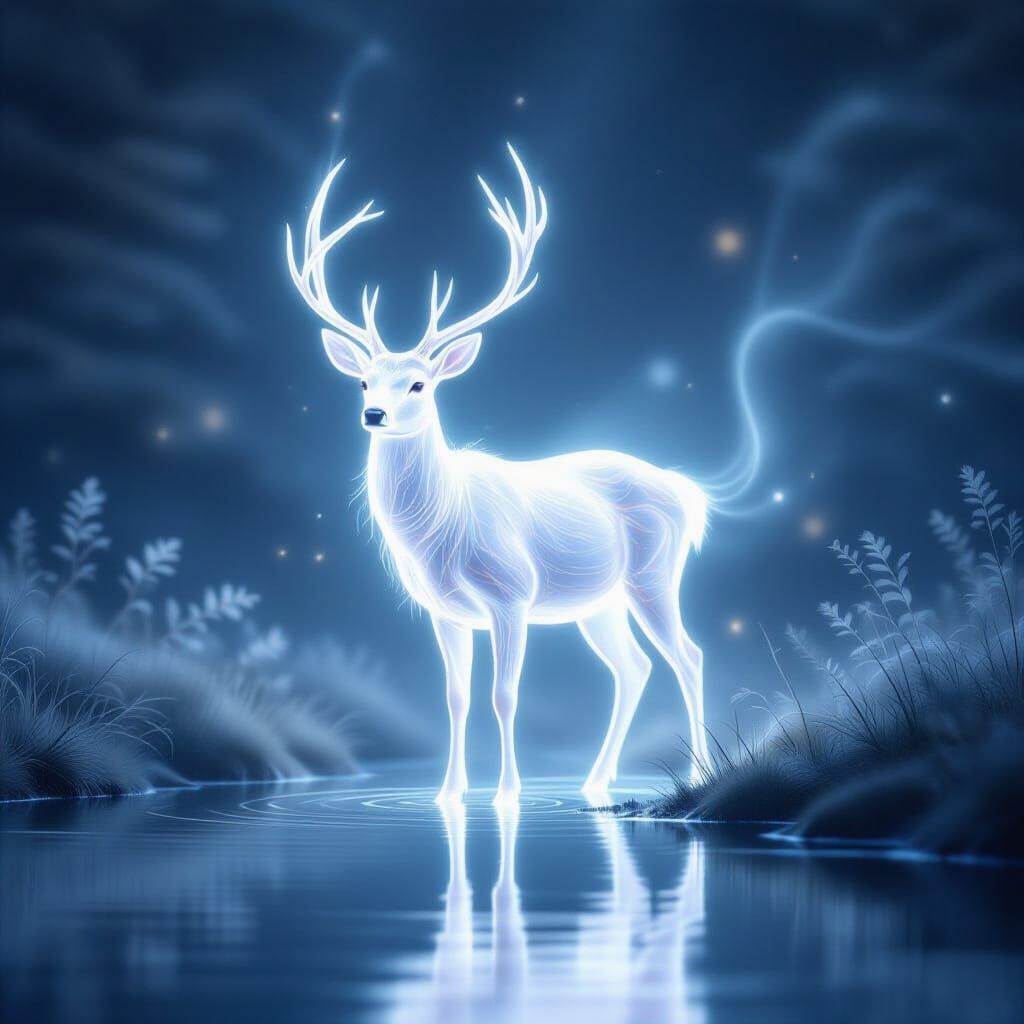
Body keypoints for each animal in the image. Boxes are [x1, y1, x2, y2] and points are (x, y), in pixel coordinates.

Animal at [286, 145, 710, 806]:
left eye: (419, 384)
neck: (441, 533)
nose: (373, 414)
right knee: (634, 668)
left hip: (653, 574)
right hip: (600, 602)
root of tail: (683, 492)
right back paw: (594, 781)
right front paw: (447, 793)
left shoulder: (512, 596)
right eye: (362, 381)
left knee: (687, 656)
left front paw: (508, 794)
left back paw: (697, 774)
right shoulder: (444, 611)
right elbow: (456, 699)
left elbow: (504, 696)